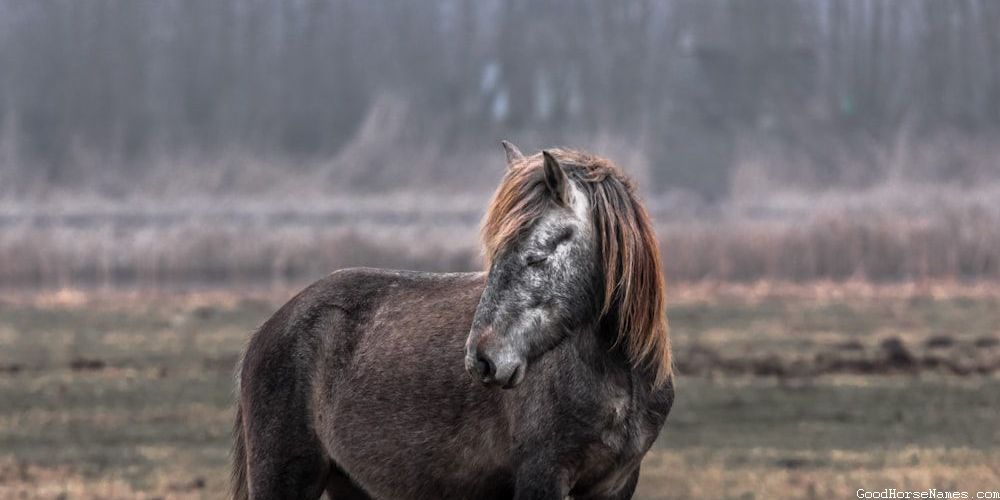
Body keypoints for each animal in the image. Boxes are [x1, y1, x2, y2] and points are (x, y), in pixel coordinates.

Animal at [231, 142, 674, 499]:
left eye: (537, 256)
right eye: (496, 252)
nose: (483, 359)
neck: (618, 379)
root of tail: (269, 328)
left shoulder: (615, 485)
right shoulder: (542, 476)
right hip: (285, 478)